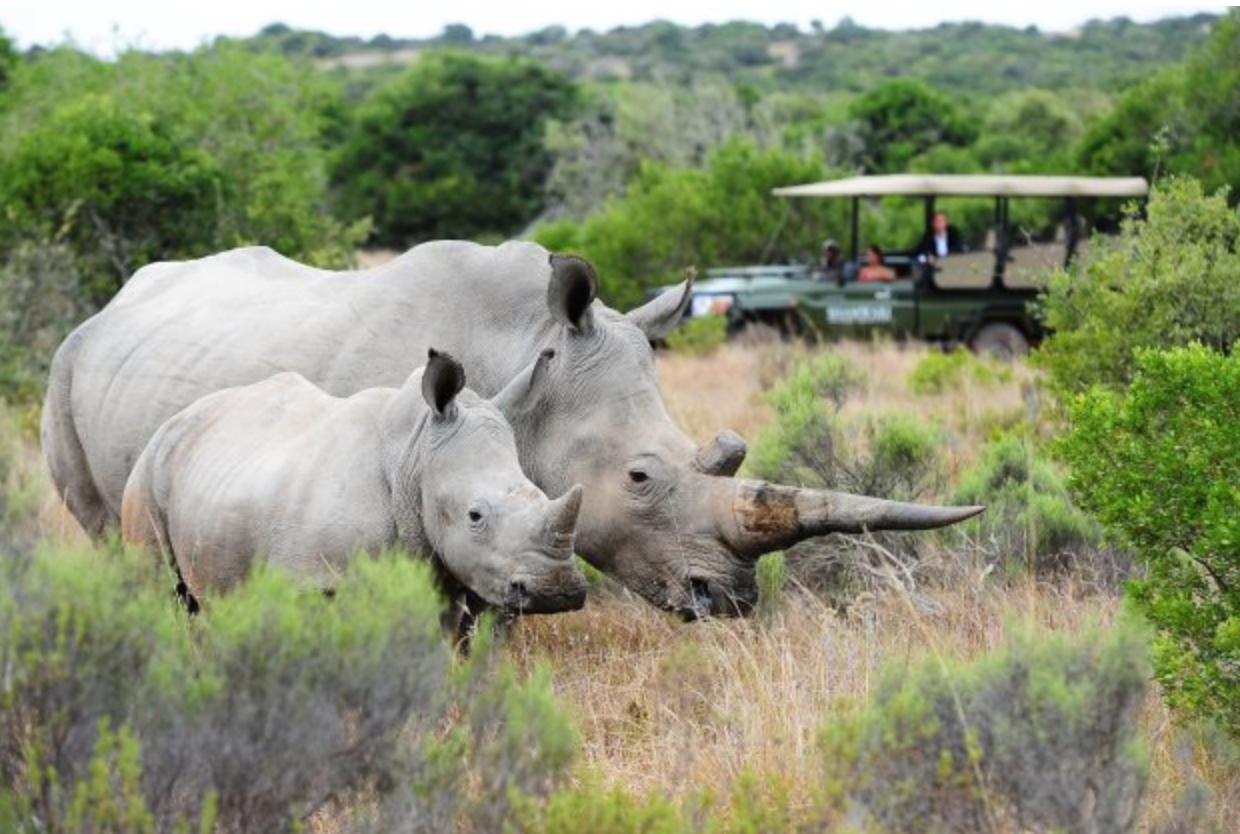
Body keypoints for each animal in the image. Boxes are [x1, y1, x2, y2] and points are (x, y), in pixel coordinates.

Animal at [123, 346, 587, 617]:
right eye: (475, 516)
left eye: (541, 494)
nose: (558, 592)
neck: (415, 456)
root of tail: (173, 421)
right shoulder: (310, 581)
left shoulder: (439, 574)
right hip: (146, 473)